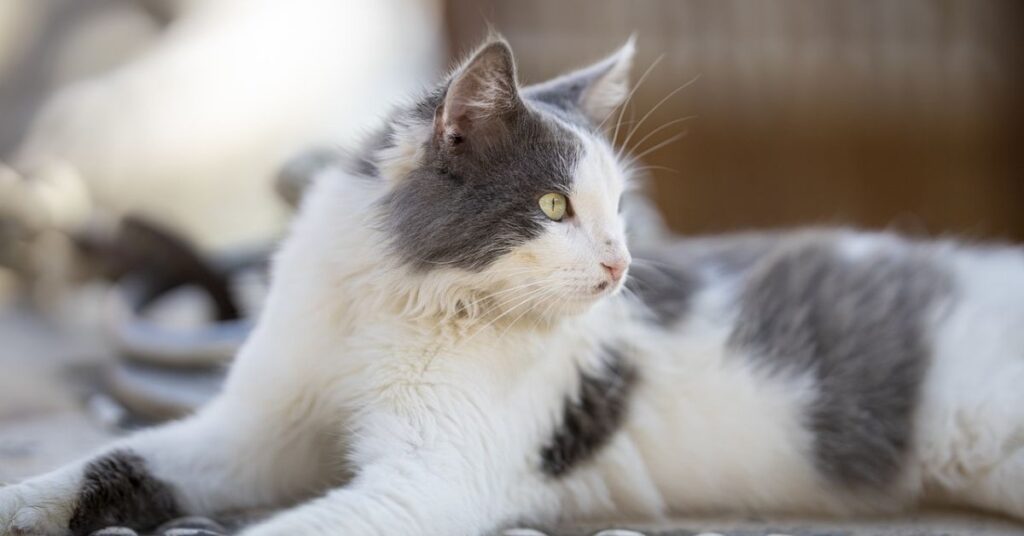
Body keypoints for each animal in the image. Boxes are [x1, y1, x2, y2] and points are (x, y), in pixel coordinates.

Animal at [2, 36, 1024, 536]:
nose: (618, 266)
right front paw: (23, 506)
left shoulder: (431, 481)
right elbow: (113, 462)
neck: (387, 303)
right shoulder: (254, 429)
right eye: (554, 205)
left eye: (620, 209)